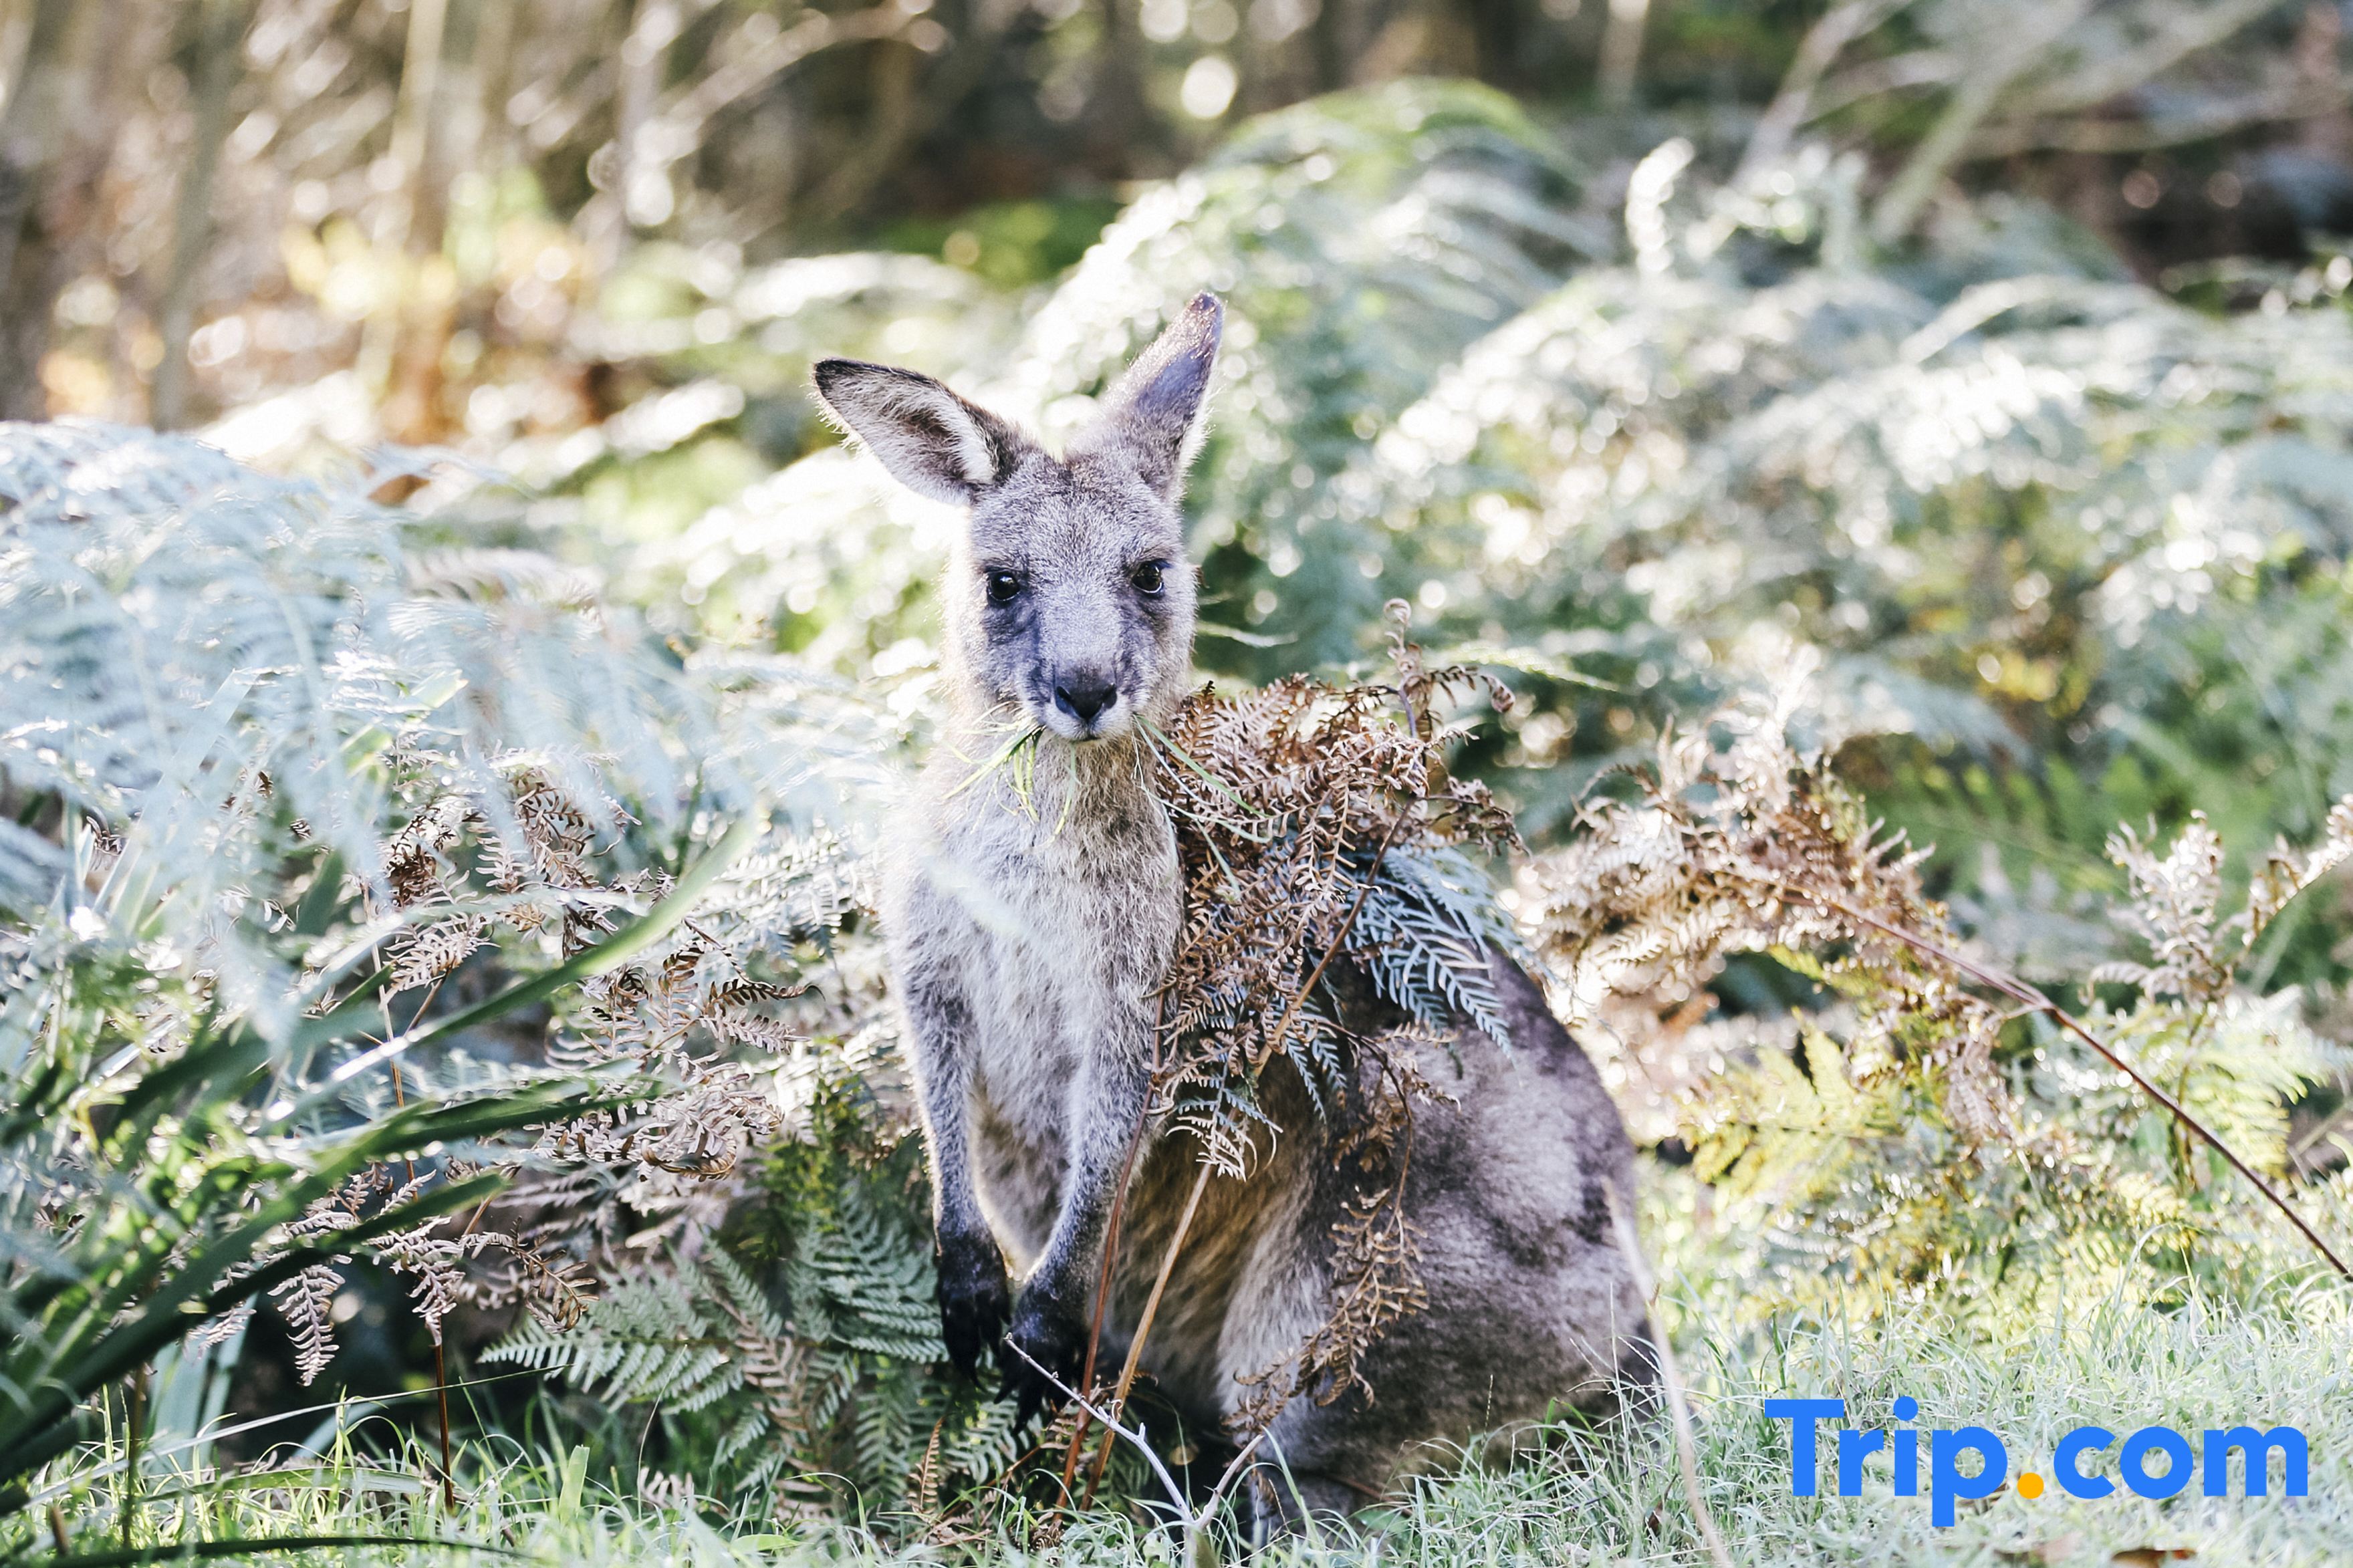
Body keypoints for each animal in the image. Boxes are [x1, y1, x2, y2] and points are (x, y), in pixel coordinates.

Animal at [812, 293, 1651, 1534]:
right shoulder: (930, 953)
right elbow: (936, 1083)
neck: (1040, 798)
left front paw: (1030, 1323)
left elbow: (1110, 1127)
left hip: (1356, 1268)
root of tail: (1637, 1320)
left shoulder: (1142, 991)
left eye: (1150, 572)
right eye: (1001, 583)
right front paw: (968, 1294)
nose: (1086, 688)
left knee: (1331, 1477)